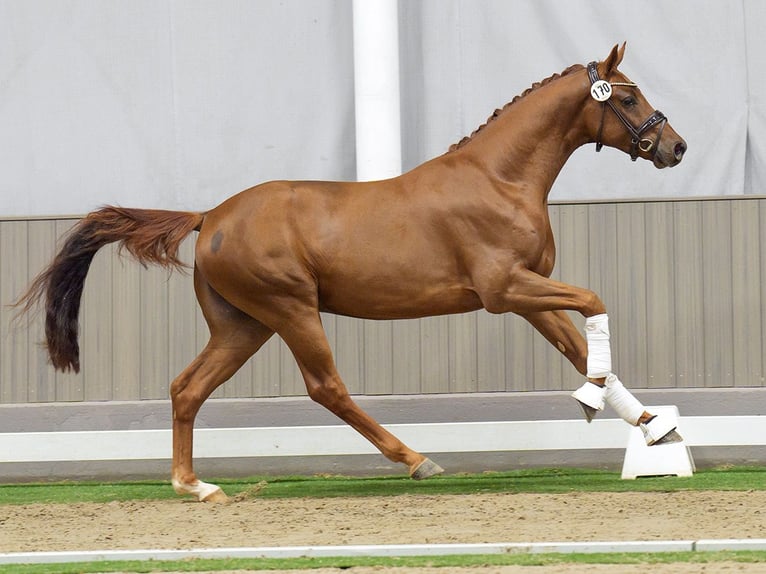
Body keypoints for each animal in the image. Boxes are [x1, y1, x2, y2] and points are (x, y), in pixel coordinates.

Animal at [18, 46, 688, 504]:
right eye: (627, 97)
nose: (675, 148)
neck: (499, 178)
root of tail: (210, 217)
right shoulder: (504, 290)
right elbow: (594, 302)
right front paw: (599, 404)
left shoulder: (526, 294)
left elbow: (577, 346)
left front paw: (652, 429)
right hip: (290, 309)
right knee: (326, 387)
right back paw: (416, 459)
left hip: (242, 326)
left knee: (188, 388)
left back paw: (195, 486)